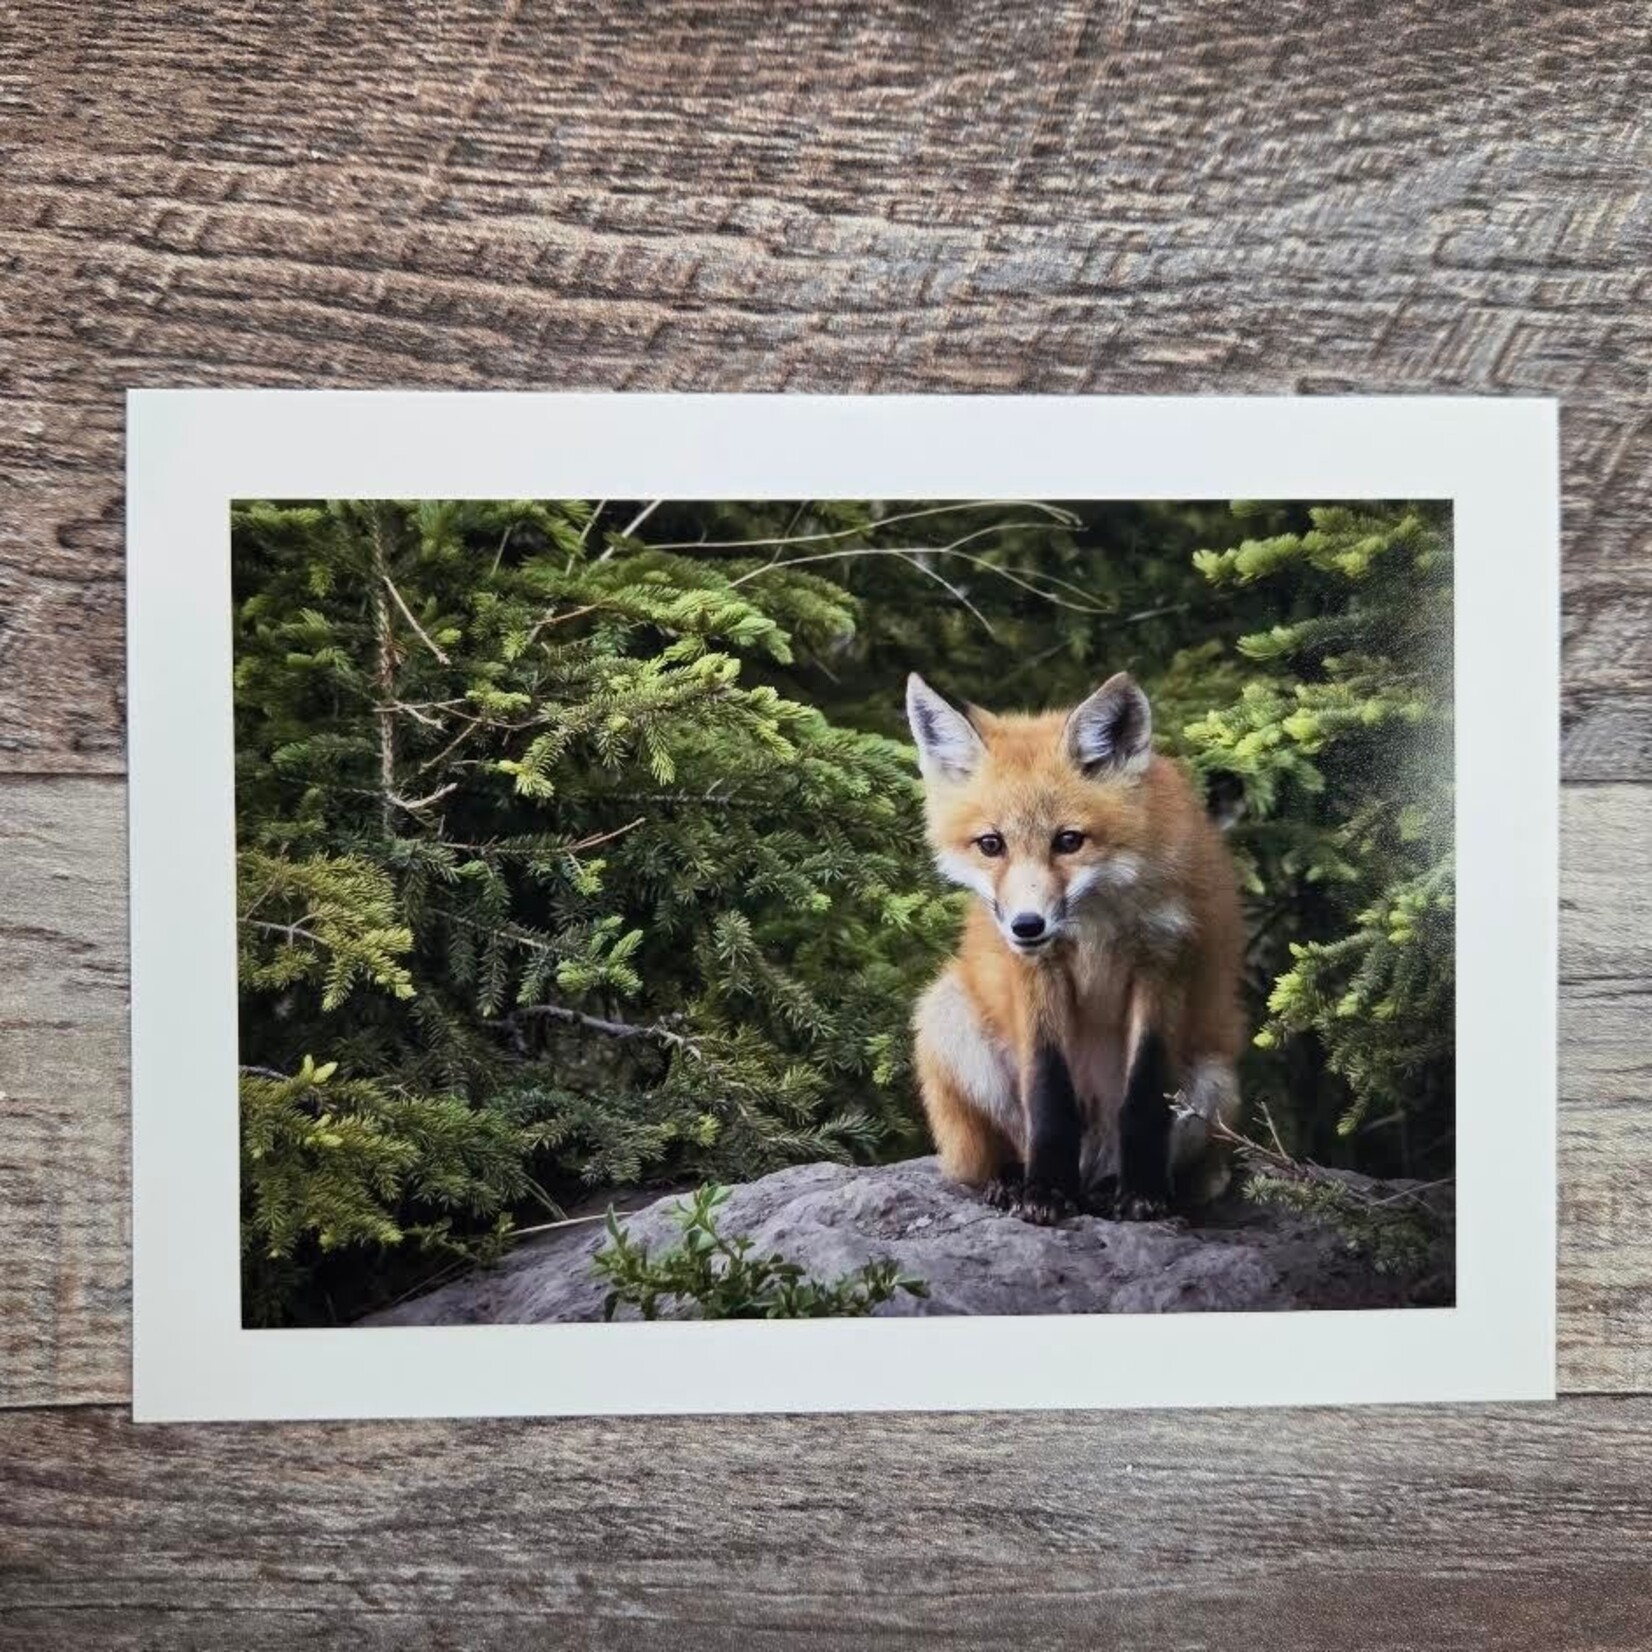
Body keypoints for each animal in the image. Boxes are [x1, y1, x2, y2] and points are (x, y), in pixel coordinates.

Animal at [905, 671, 1245, 1226]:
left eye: (1069, 841)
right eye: (991, 844)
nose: (1026, 925)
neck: (1095, 926)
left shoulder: (1163, 962)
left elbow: (1145, 1096)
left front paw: (1142, 1192)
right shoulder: (1036, 972)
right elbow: (1048, 1096)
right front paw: (1044, 1190)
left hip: (1215, 1084)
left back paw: (1112, 1187)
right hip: (946, 1015)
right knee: (987, 1159)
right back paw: (1014, 1181)